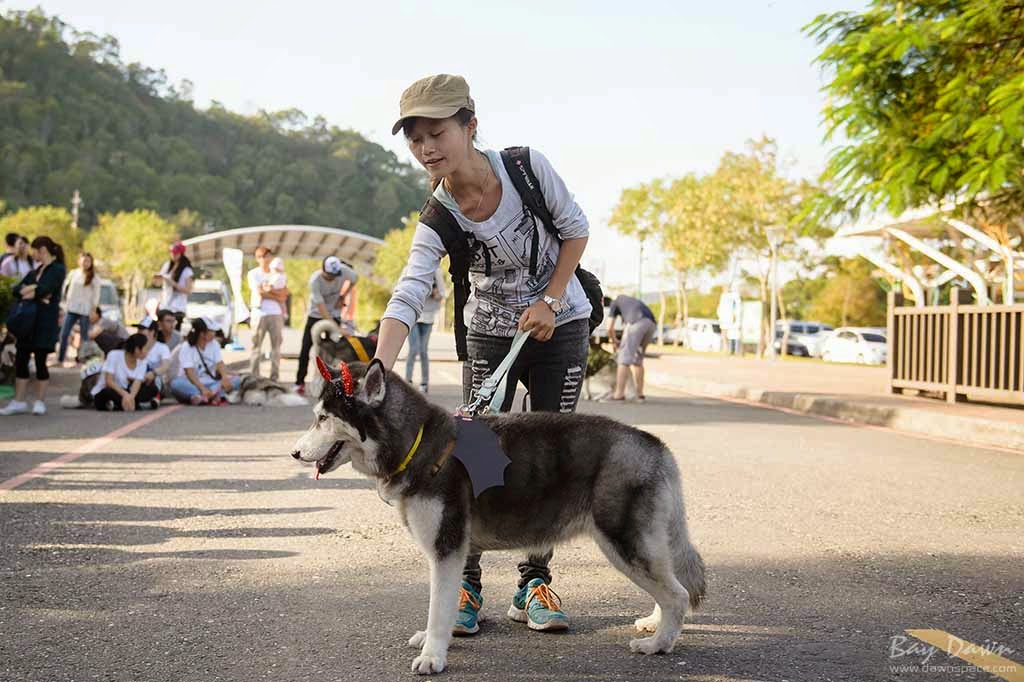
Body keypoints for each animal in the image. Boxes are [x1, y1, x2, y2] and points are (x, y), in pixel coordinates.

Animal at [292, 358, 700, 671]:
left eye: (323, 418)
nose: (294, 453)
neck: (416, 442)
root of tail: (656, 445)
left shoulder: (447, 549)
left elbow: (438, 608)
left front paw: (433, 656)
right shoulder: (452, 553)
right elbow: (444, 606)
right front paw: (436, 641)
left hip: (623, 545)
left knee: (678, 594)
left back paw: (660, 643)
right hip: (637, 546)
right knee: (667, 587)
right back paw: (655, 623)